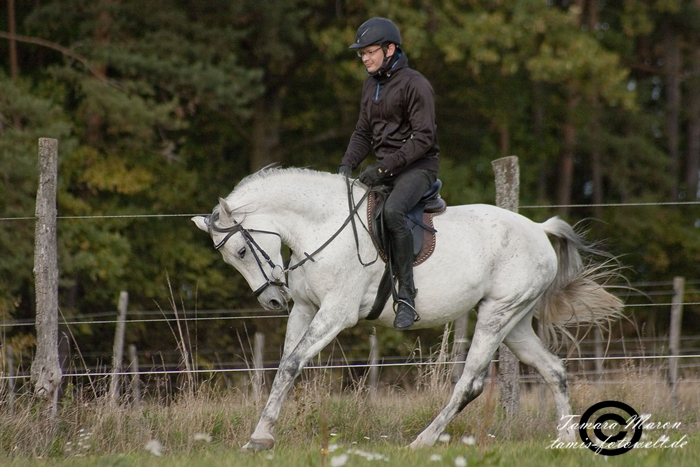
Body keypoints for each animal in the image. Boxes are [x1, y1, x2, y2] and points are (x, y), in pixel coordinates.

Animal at [193, 166, 624, 452]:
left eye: (242, 250)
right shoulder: (304, 308)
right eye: (232, 258)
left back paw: (423, 441)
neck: (322, 227)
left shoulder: (335, 313)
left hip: (496, 316)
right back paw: (565, 437)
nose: (271, 300)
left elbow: (292, 363)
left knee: (470, 382)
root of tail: (538, 228)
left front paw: (260, 438)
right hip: (513, 322)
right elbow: (285, 365)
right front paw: (261, 434)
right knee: (553, 369)